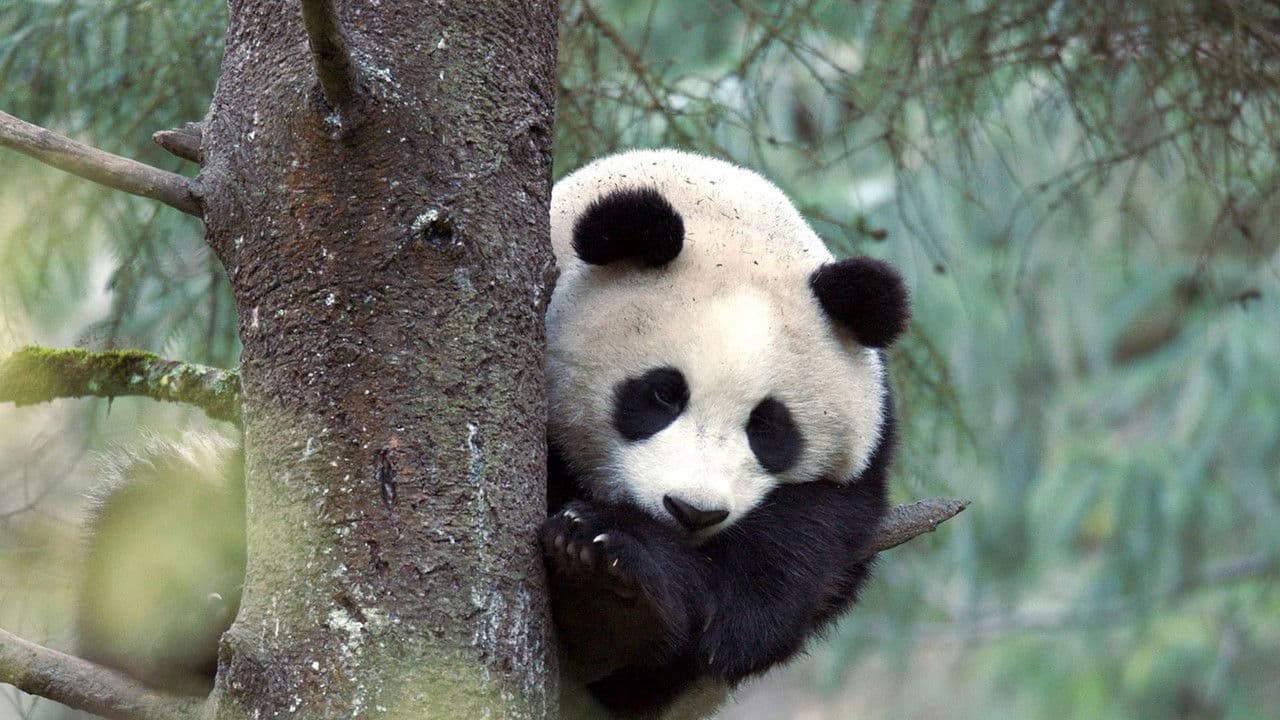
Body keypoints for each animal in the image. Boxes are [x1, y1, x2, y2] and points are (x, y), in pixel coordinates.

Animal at [541, 149, 909, 719]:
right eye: (663, 395)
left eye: (767, 427)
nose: (693, 512)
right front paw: (602, 562)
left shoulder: (866, 456)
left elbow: (792, 558)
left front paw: (618, 574)